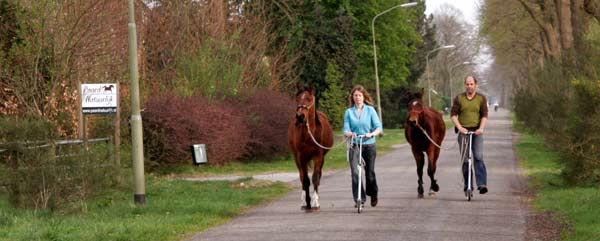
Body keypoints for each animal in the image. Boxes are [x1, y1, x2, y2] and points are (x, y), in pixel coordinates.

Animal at [288, 83, 336, 211]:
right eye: (297, 99)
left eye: (309, 99)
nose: (300, 117)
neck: (309, 134)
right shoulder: (300, 157)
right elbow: (305, 179)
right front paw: (307, 202)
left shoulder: (318, 156)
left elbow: (315, 178)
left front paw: (315, 203)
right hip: (297, 159)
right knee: (302, 177)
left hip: (321, 159)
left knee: (318, 177)